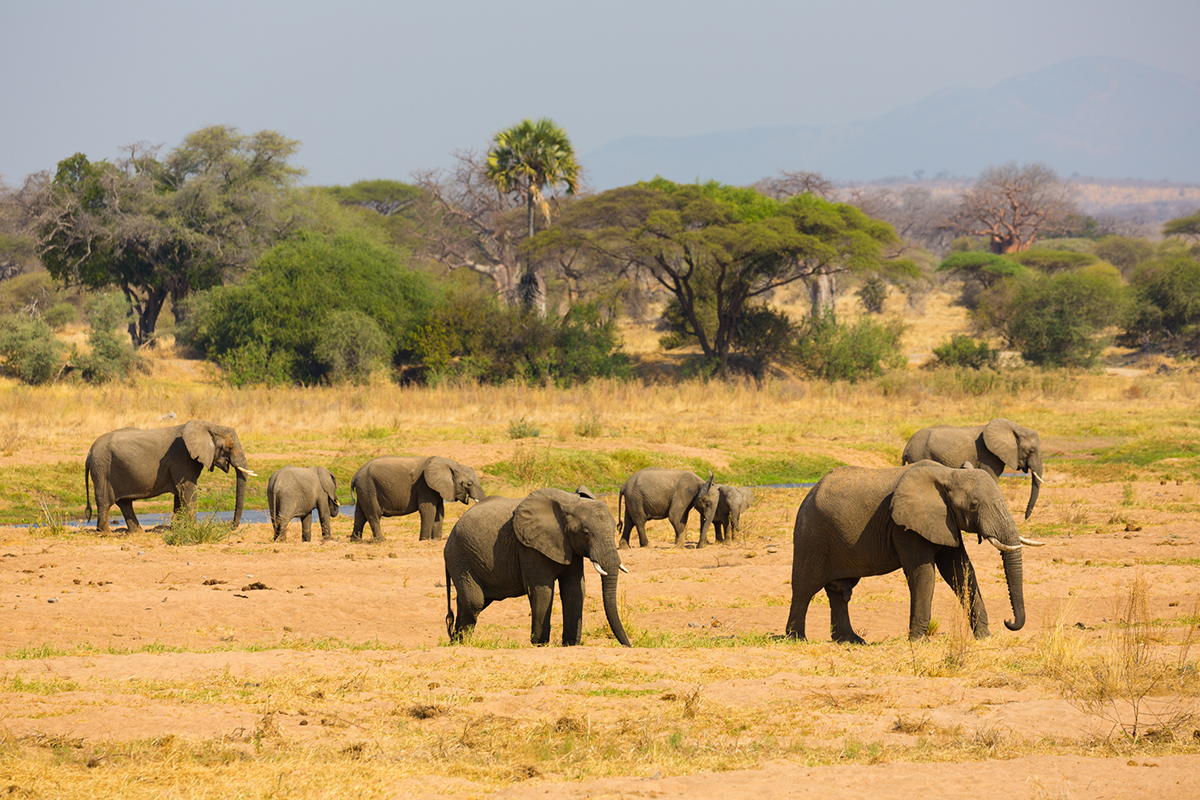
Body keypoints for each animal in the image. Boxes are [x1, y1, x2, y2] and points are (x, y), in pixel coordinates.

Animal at [86, 419, 255, 532]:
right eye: (230, 447)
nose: (231, 526)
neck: (207, 425)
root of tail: (88, 454)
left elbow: (179, 494)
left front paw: (177, 528)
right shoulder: (182, 456)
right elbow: (187, 489)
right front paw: (191, 528)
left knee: (125, 502)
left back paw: (137, 532)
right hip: (102, 470)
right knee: (105, 501)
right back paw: (105, 533)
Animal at [350, 453, 487, 542]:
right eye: (469, 484)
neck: (454, 465)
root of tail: (355, 474)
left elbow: (440, 511)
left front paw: (436, 540)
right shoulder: (425, 485)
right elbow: (428, 510)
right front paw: (425, 540)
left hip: (363, 489)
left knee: (360, 515)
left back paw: (355, 540)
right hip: (368, 487)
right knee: (373, 514)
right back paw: (380, 540)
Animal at [439, 484, 628, 647]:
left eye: (614, 528)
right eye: (586, 532)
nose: (629, 645)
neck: (570, 502)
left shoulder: (569, 547)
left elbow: (575, 589)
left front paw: (570, 645)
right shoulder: (529, 547)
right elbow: (542, 590)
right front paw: (539, 644)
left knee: (469, 602)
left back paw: (455, 643)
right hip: (460, 557)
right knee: (474, 601)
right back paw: (461, 644)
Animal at [787, 460, 1041, 642]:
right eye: (974, 505)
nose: (1009, 621)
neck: (948, 474)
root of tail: (810, 492)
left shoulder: (945, 521)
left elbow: (961, 571)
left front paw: (985, 637)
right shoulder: (905, 527)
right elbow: (924, 573)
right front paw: (919, 641)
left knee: (840, 590)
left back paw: (851, 640)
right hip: (811, 534)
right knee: (805, 587)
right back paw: (797, 639)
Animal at [902, 419, 1041, 520]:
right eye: (1031, 451)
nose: (1025, 518)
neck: (1017, 429)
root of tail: (907, 447)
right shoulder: (988, 456)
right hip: (919, 454)